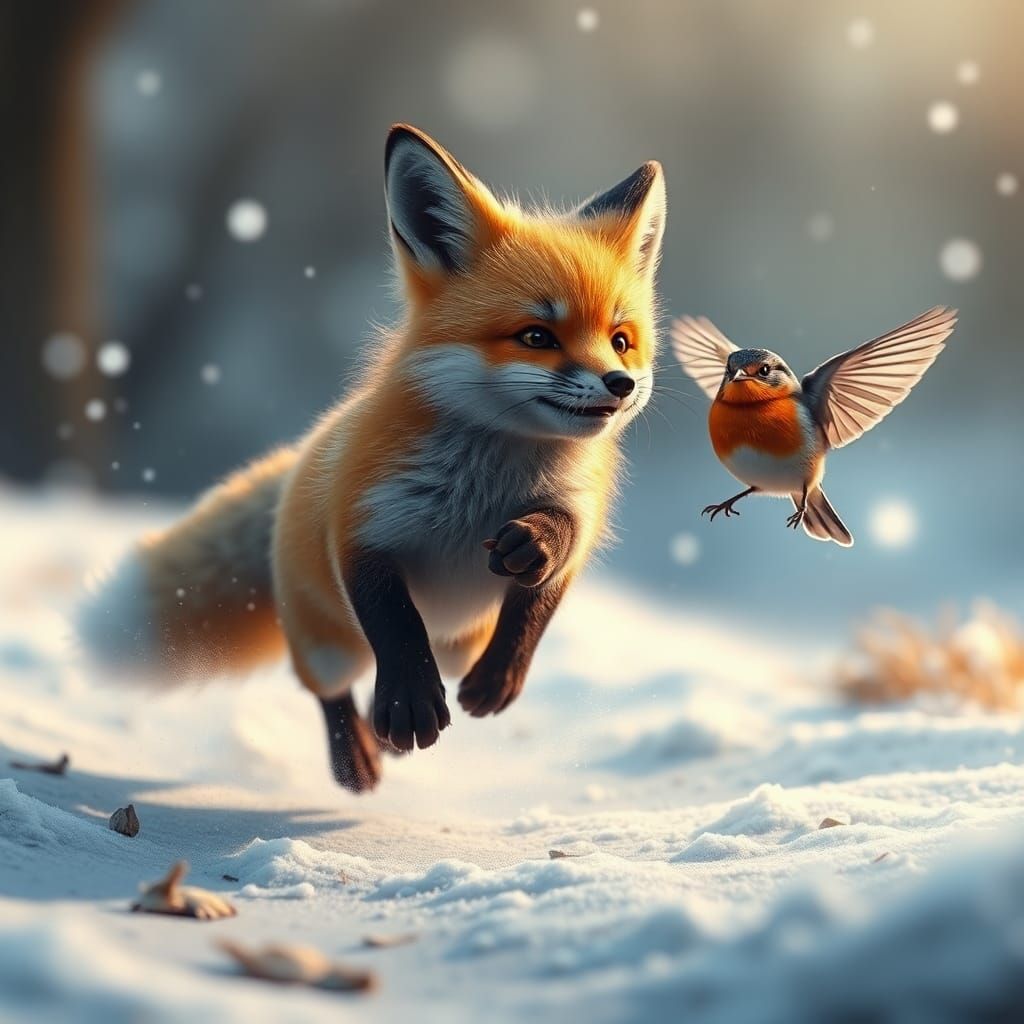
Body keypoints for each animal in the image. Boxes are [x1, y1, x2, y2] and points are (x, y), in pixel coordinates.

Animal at [78, 124, 667, 793]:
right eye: (537, 336)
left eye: (621, 339)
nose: (621, 383)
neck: (485, 485)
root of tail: (299, 465)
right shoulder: (363, 526)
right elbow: (395, 622)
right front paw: (408, 705)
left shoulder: (578, 518)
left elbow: (540, 595)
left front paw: (512, 636)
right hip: (328, 646)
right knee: (330, 690)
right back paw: (357, 756)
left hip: (459, 643)